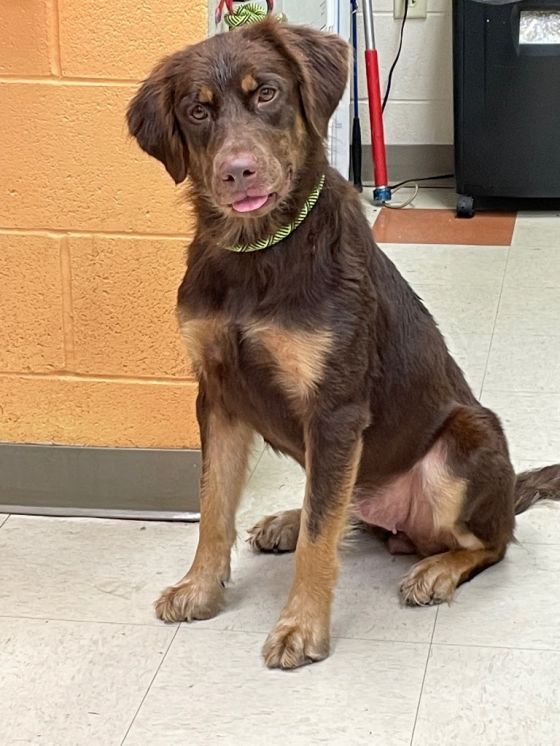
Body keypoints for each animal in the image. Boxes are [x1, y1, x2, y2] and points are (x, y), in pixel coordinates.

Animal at [127, 19, 560, 669]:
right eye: (197, 111)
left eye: (267, 94)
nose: (237, 171)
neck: (259, 252)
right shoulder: (218, 397)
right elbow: (213, 505)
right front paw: (201, 588)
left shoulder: (334, 410)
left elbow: (319, 539)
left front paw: (301, 627)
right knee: (341, 508)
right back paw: (286, 519)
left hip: (464, 442)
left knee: (493, 540)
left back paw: (436, 569)